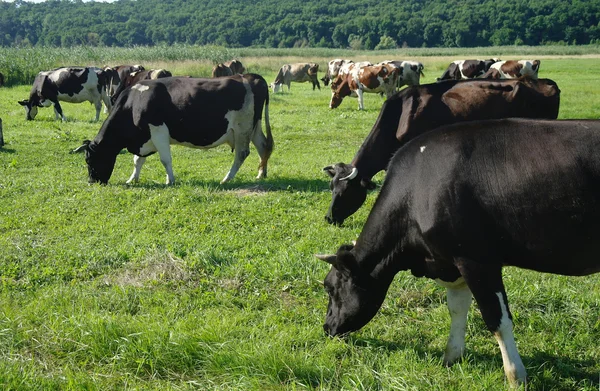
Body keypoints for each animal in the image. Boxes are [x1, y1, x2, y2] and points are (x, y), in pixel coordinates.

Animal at [72, 74, 274, 187]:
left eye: (89, 160)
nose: (92, 182)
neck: (134, 103)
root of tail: (252, 76)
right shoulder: (144, 137)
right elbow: (138, 160)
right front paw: (132, 179)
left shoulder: (158, 131)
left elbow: (165, 159)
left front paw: (170, 180)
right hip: (253, 127)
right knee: (263, 146)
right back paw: (260, 174)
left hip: (242, 128)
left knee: (242, 153)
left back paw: (226, 179)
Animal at [318, 118, 600, 388]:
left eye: (330, 288)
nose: (327, 327)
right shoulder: (452, 261)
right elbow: (456, 309)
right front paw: (452, 356)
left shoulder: (477, 260)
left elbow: (497, 319)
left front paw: (515, 375)